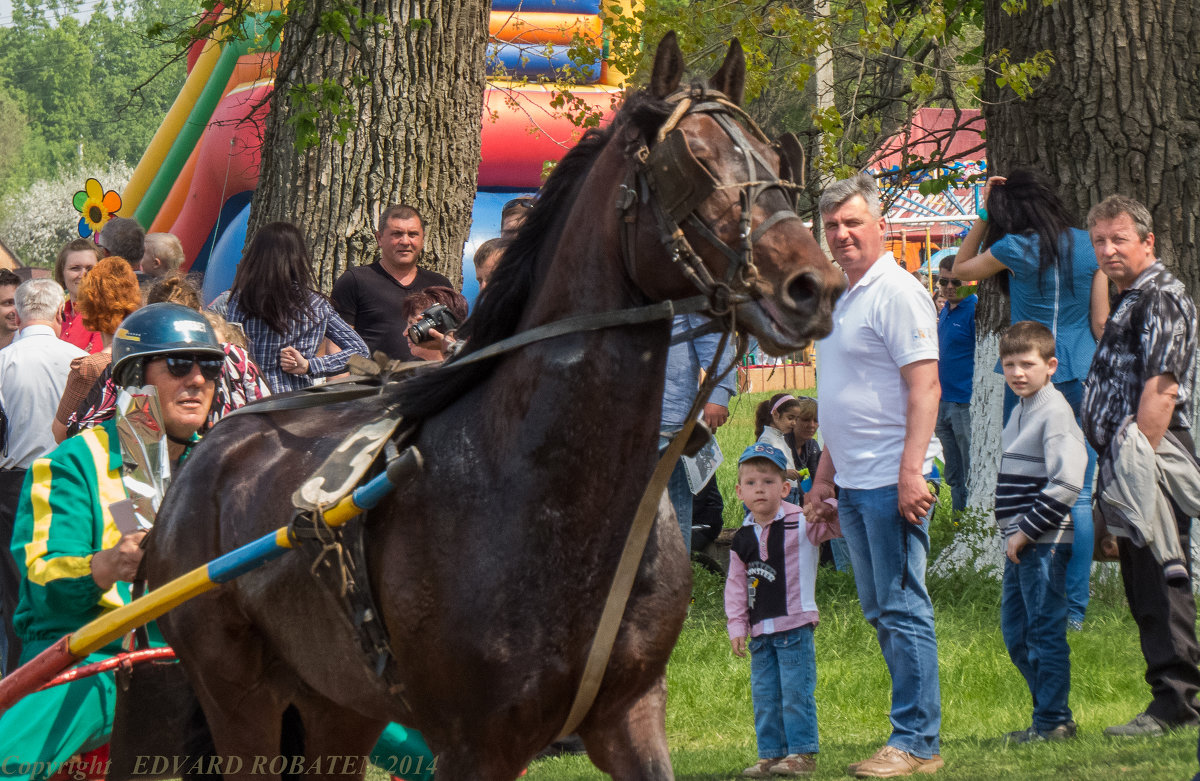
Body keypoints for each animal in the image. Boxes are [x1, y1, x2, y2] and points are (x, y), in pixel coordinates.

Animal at [145, 32, 844, 781]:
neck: (547, 491)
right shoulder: (473, 743)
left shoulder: (630, 711)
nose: (813, 284)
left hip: (337, 703)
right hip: (239, 696)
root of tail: (205, 454)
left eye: (773, 157)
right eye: (694, 162)